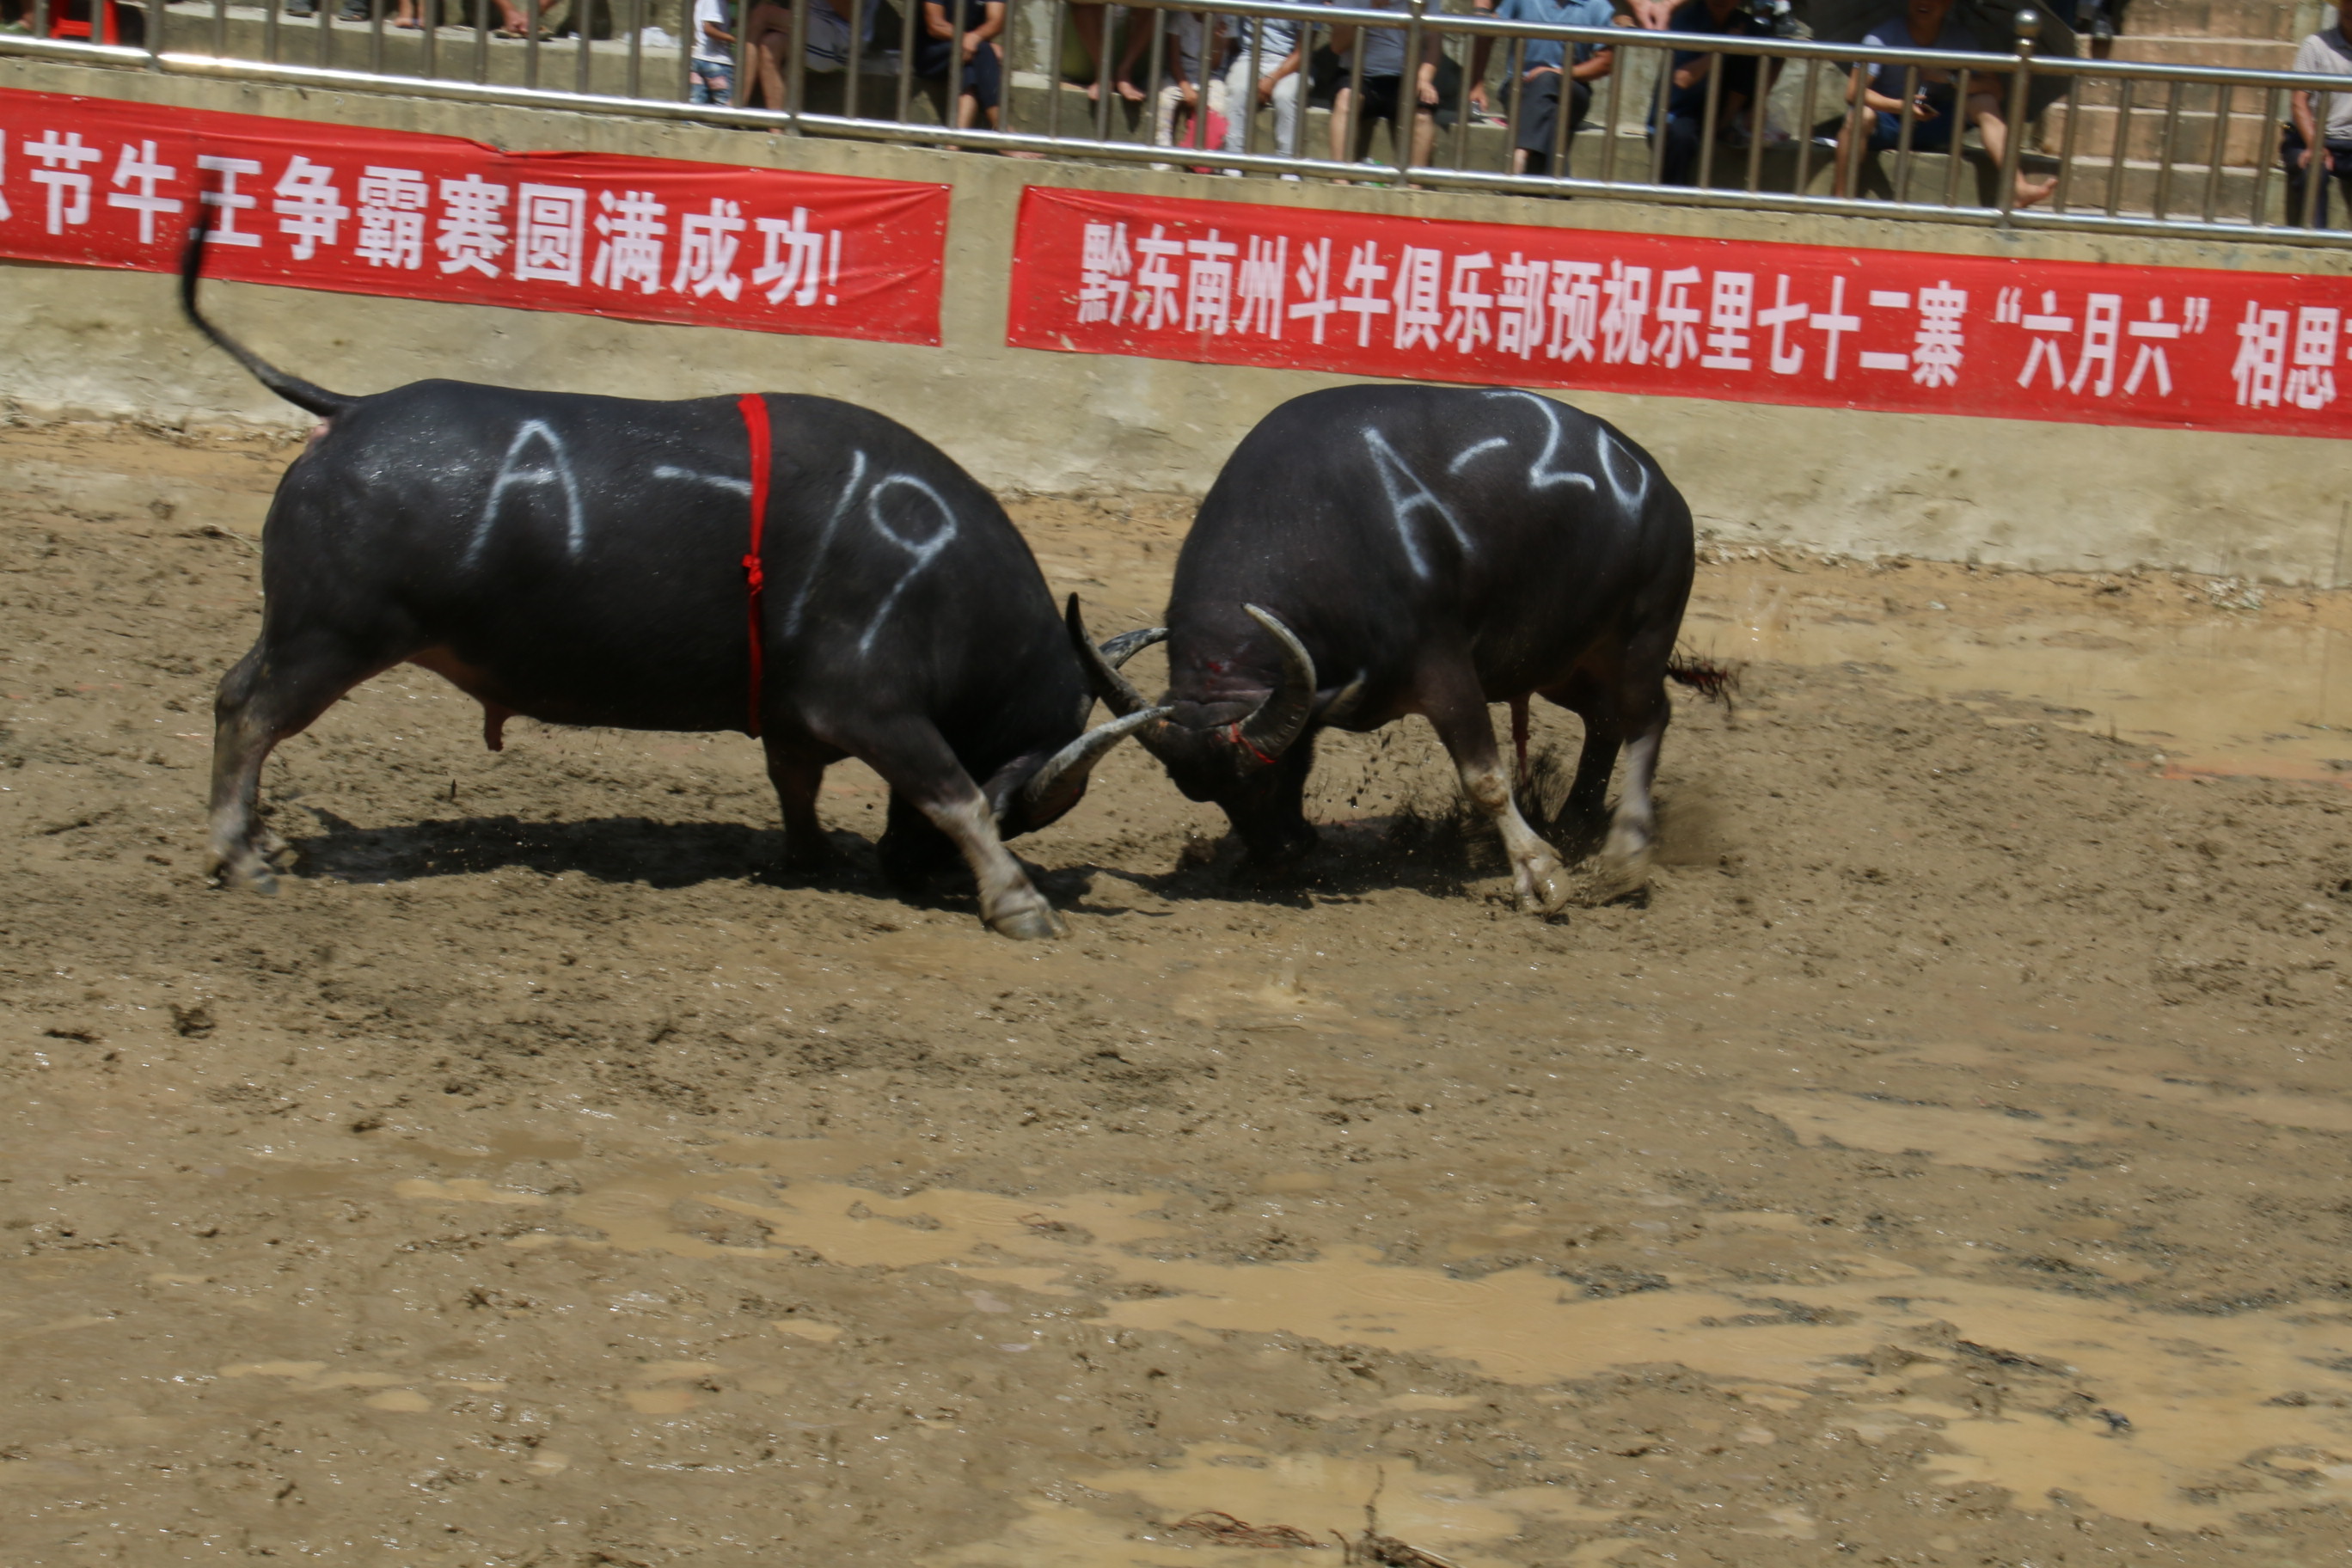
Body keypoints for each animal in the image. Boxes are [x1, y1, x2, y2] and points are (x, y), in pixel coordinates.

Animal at [183, 226, 1167, 940]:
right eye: (1033, 817)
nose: (904, 869)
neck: (934, 571)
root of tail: (348, 411)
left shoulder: (799, 716)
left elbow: (797, 784)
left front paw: (814, 858)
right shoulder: (875, 709)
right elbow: (956, 794)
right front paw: (1018, 902)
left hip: (298, 630)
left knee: (233, 693)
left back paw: (257, 834)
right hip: (334, 639)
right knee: (253, 716)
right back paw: (240, 856)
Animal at [1077, 385, 1702, 912]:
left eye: (1266, 776)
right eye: (1206, 793)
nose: (1278, 852)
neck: (1311, 520)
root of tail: (1660, 488)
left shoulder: (1443, 667)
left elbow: (1486, 780)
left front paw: (1538, 873)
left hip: (1640, 637)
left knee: (1647, 717)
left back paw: (1623, 857)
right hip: (1561, 663)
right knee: (1604, 722)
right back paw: (1576, 821)